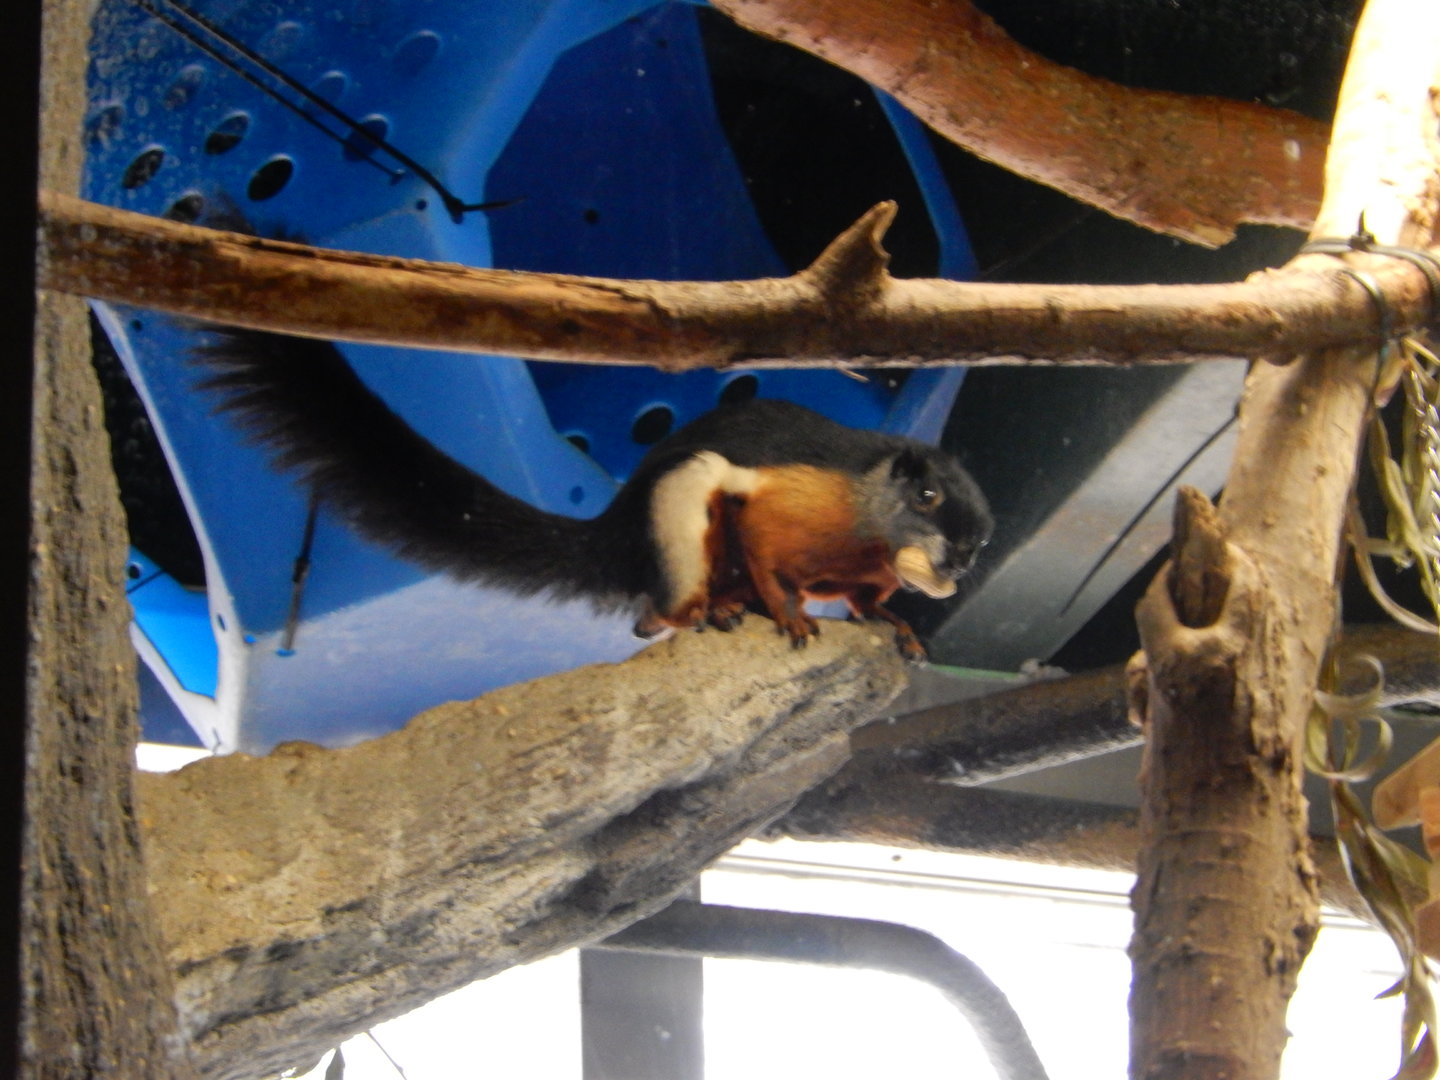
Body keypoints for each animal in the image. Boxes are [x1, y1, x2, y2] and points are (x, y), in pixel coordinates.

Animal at [196, 327, 993, 660]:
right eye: (926, 498)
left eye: (980, 544)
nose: (954, 566)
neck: (867, 527)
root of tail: (617, 534)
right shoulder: (786, 500)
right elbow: (770, 558)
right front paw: (791, 615)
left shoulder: (866, 574)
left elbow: (869, 604)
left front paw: (896, 625)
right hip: (678, 520)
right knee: (658, 614)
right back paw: (710, 612)